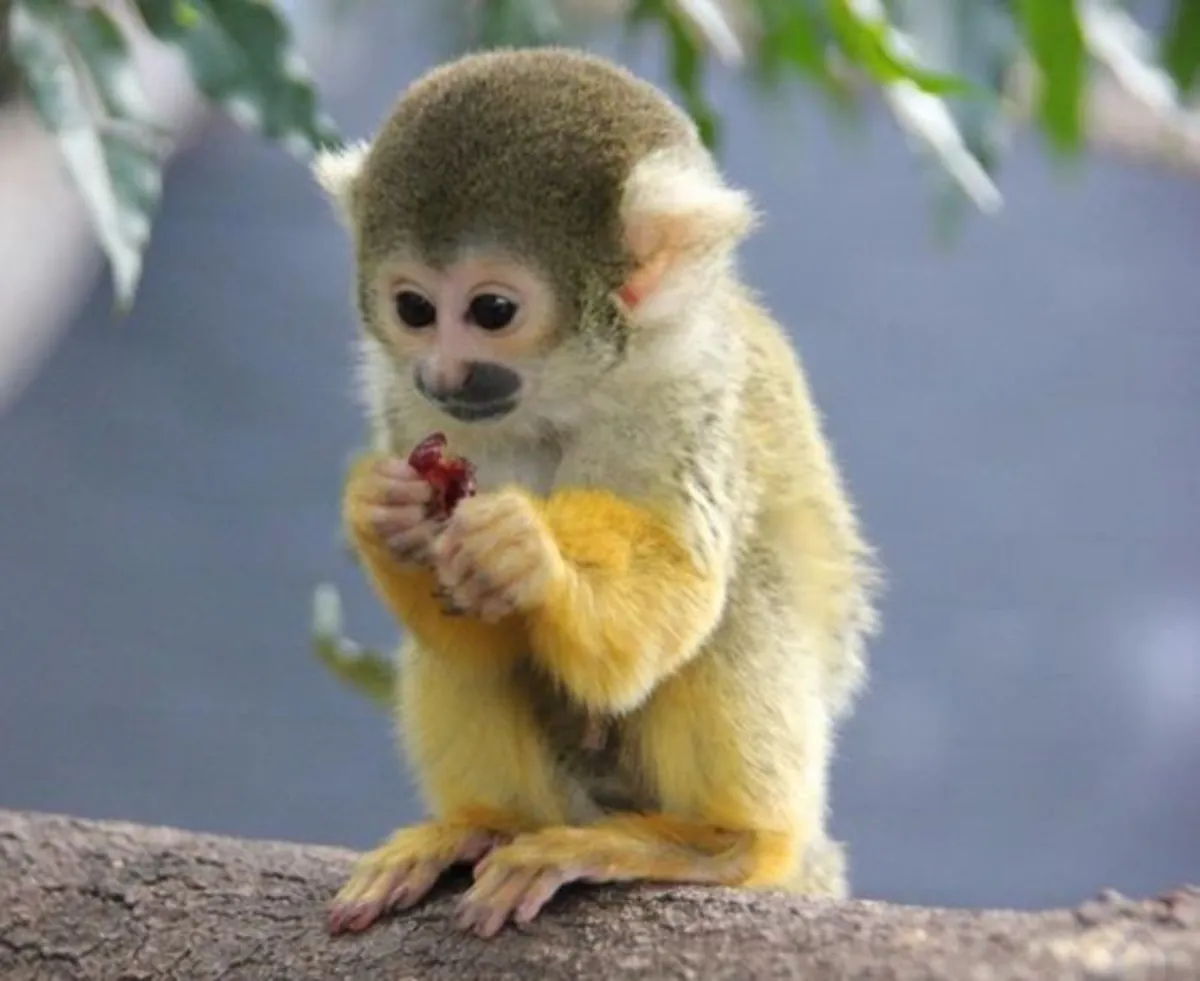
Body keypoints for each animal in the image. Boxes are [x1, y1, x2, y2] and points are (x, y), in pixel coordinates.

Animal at [310, 46, 881, 940]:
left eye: (492, 310)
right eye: (412, 308)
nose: (443, 374)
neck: (563, 390)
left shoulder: (686, 386)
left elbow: (680, 595)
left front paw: (531, 554)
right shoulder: (405, 407)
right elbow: (470, 631)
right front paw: (382, 514)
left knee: (742, 598)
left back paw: (723, 844)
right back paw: (487, 822)